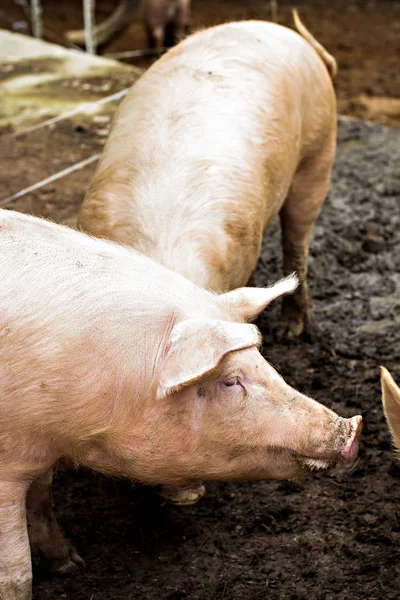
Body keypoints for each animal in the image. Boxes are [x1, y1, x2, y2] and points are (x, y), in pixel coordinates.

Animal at [0, 209, 362, 596]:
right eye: (229, 380)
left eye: (261, 359)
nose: (353, 428)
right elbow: (17, 571)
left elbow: (41, 498)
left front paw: (69, 565)